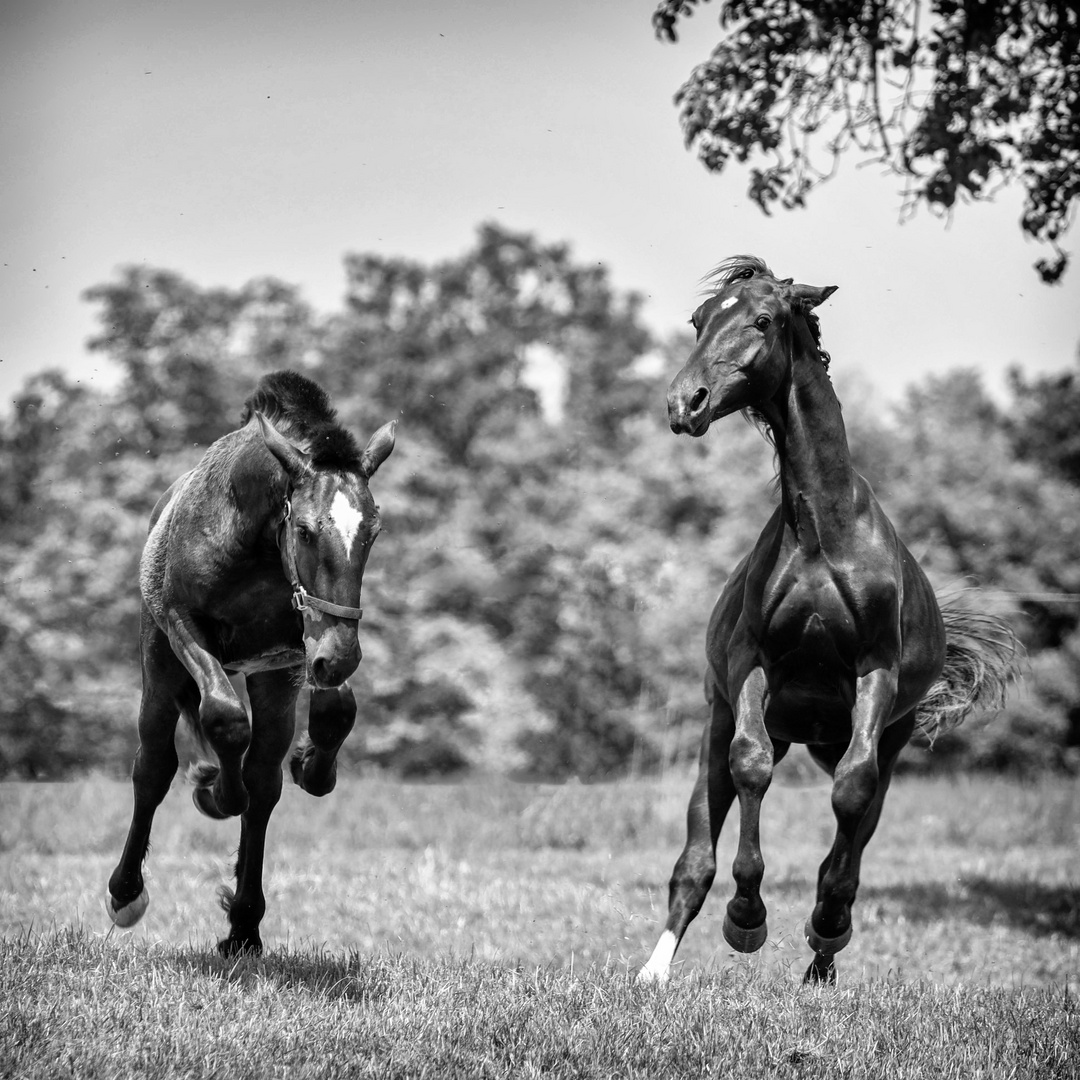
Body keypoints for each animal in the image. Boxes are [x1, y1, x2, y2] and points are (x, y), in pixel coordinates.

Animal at [106, 371, 397, 954]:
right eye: (305, 530)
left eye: (372, 533)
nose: (342, 658)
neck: (256, 541)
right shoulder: (185, 627)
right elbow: (223, 720)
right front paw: (215, 790)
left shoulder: (295, 652)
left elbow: (332, 716)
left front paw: (309, 763)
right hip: (159, 665)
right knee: (153, 766)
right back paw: (127, 893)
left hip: (271, 677)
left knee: (263, 780)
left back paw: (243, 925)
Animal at [639, 257, 1019, 984]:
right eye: (699, 321)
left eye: (762, 319)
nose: (684, 404)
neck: (824, 534)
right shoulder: (753, 666)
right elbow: (752, 768)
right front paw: (747, 918)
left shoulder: (875, 673)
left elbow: (851, 794)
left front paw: (827, 923)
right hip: (722, 722)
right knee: (695, 857)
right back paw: (654, 972)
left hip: (888, 738)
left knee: (858, 821)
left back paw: (822, 956)